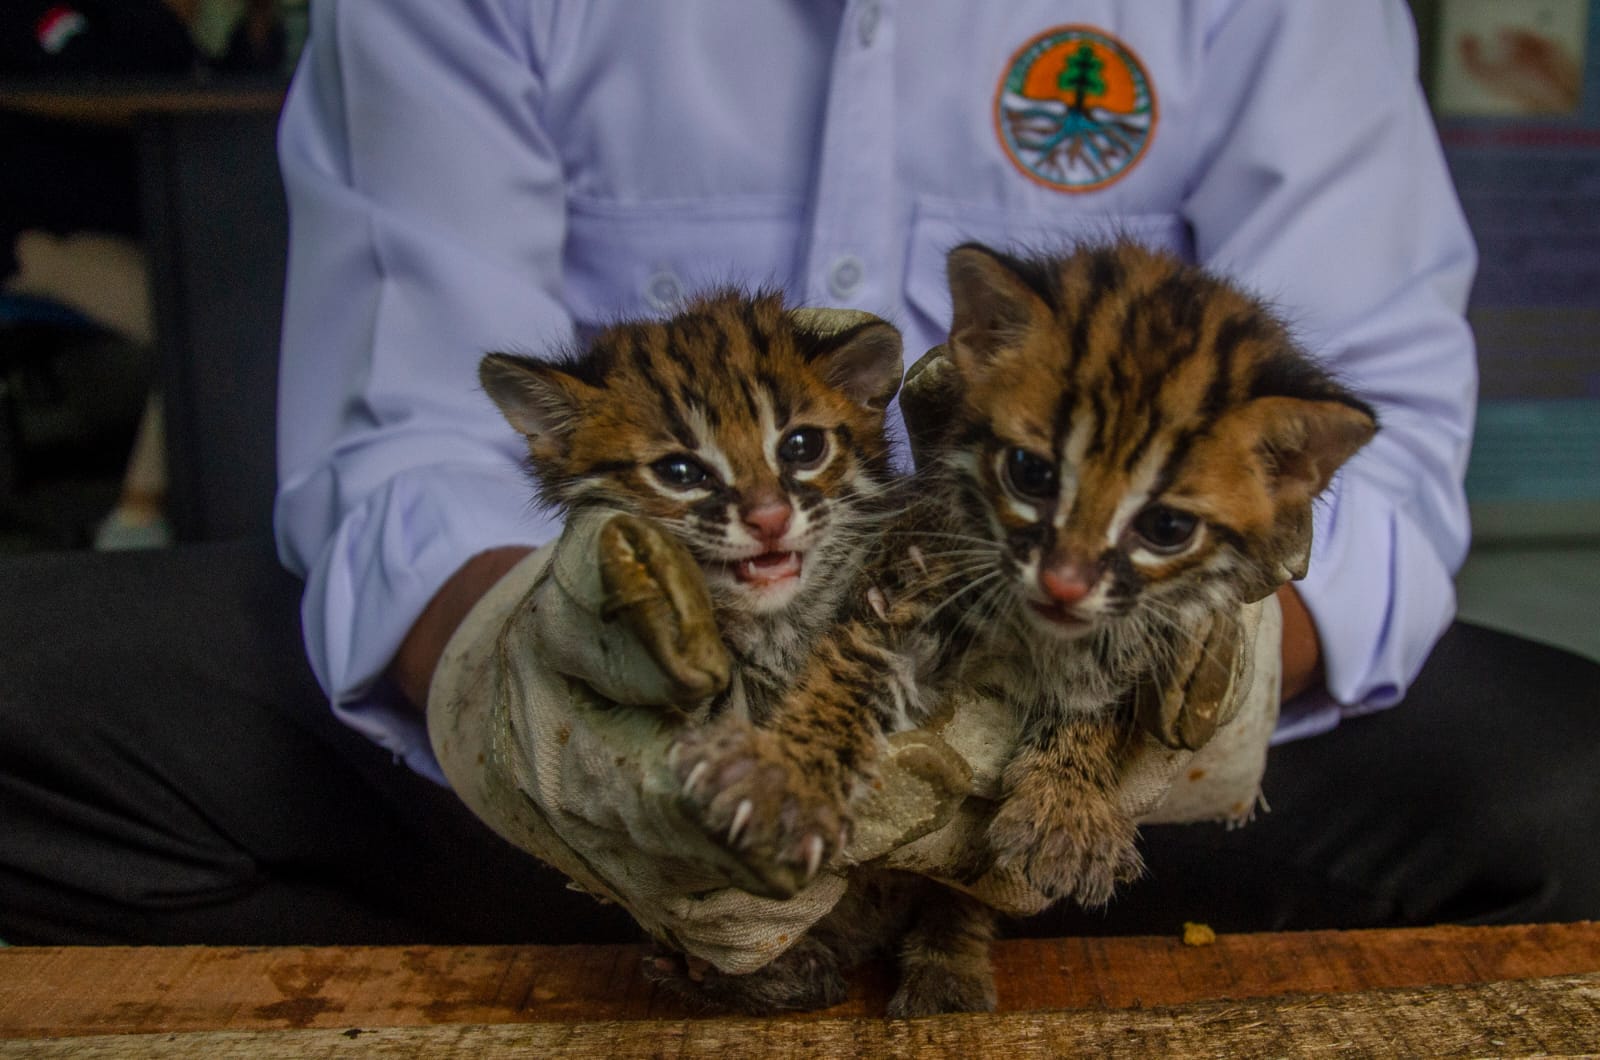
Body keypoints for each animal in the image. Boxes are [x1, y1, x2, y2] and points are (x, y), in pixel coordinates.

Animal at [668, 240, 1382, 1024]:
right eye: (1031, 473)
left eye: (1166, 526)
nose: (1065, 583)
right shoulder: (909, 555)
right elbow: (850, 657)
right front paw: (788, 775)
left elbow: (1095, 703)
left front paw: (1065, 805)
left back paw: (940, 964)